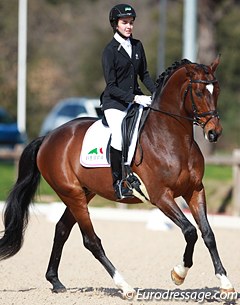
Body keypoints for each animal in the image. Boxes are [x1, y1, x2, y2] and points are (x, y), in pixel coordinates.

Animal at [0, 56, 234, 296]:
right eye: (198, 92)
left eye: (216, 90)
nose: (214, 133)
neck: (174, 138)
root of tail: (48, 138)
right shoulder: (161, 196)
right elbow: (190, 231)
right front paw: (178, 274)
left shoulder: (194, 190)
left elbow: (208, 234)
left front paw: (225, 283)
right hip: (72, 194)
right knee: (91, 240)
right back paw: (125, 286)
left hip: (84, 193)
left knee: (62, 229)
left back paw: (55, 281)